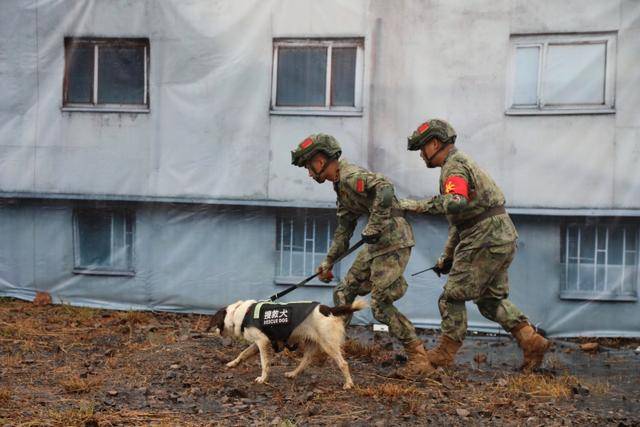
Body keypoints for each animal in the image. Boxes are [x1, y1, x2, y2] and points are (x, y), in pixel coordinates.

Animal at [209, 300, 364, 390]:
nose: (215, 331)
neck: (242, 313)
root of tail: (328, 309)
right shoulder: (257, 343)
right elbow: (243, 354)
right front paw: (233, 363)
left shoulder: (262, 342)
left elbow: (264, 363)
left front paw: (263, 379)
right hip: (312, 343)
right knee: (305, 361)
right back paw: (293, 373)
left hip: (328, 344)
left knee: (343, 364)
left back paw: (349, 383)